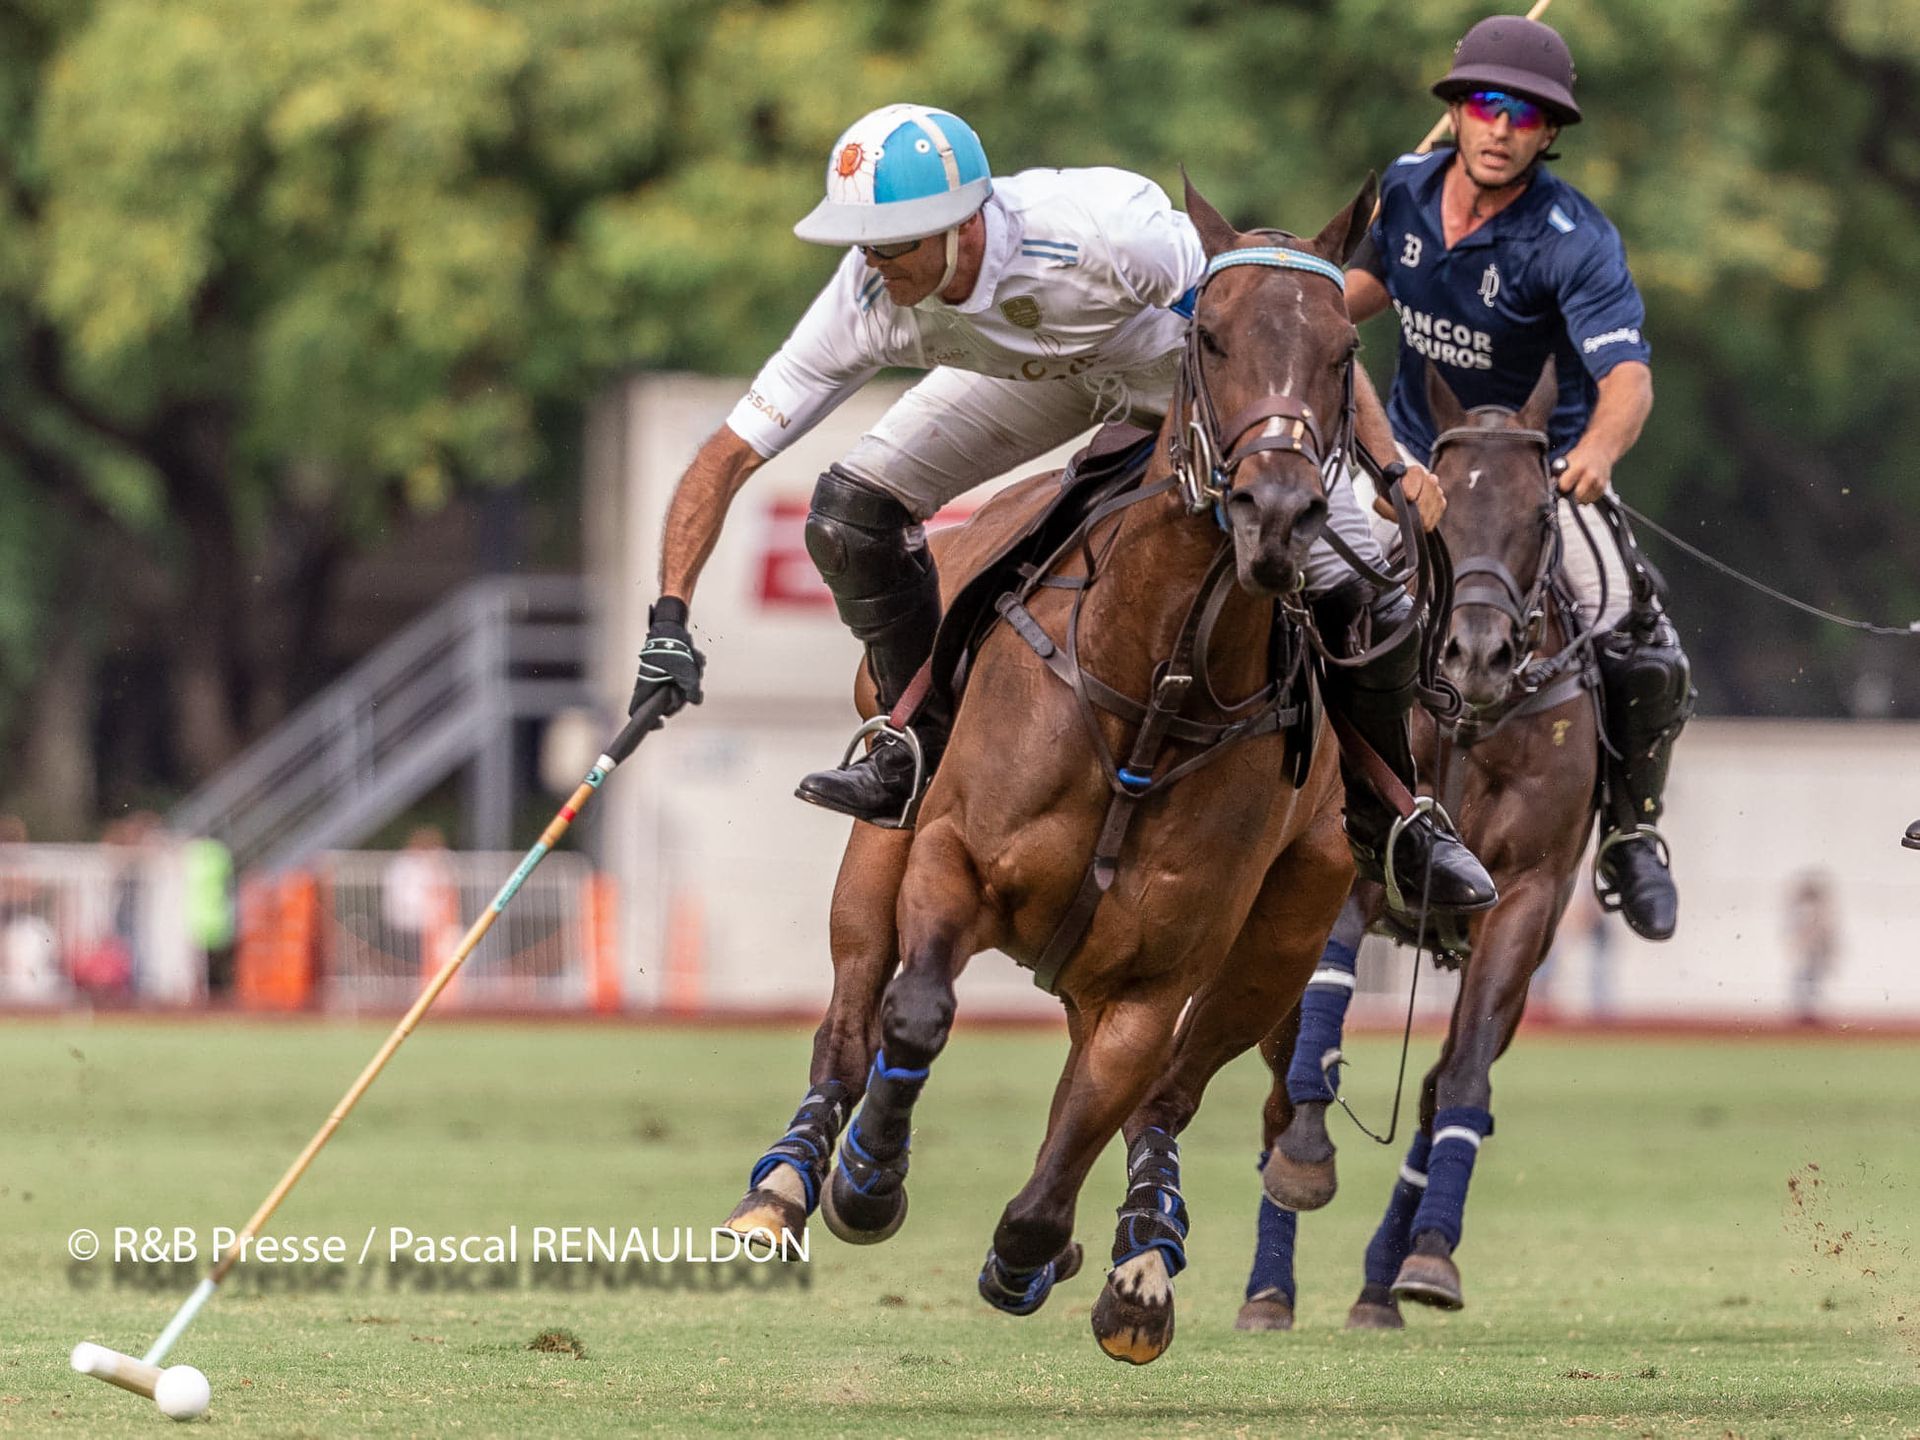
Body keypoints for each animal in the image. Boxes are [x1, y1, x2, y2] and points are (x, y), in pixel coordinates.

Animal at [721, 180, 1382, 1367]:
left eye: (1344, 349)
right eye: (1210, 338)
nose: (1278, 513)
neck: (1157, 688)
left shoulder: (1155, 975)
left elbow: (1087, 1134)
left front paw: (1053, 1256)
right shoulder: (950, 856)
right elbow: (915, 1013)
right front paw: (869, 1181)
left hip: (1285, 928)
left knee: (1167, 1098)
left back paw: (1141, 1252)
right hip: (876, 851)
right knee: (850, 1012)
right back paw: (788, 1181)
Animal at [1244, 359, 1605, 1328]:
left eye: (1543, 514)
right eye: (1447, 510)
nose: (1474, 654)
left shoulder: (1525, 899)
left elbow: (1466, 1073)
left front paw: (1431, 1256)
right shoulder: (1359, 866)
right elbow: (1322, 1023)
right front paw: (1306, 1157)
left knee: (1444, 1083)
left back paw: (1382, 1280)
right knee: (1277, 1073)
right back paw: (1267, 1283)